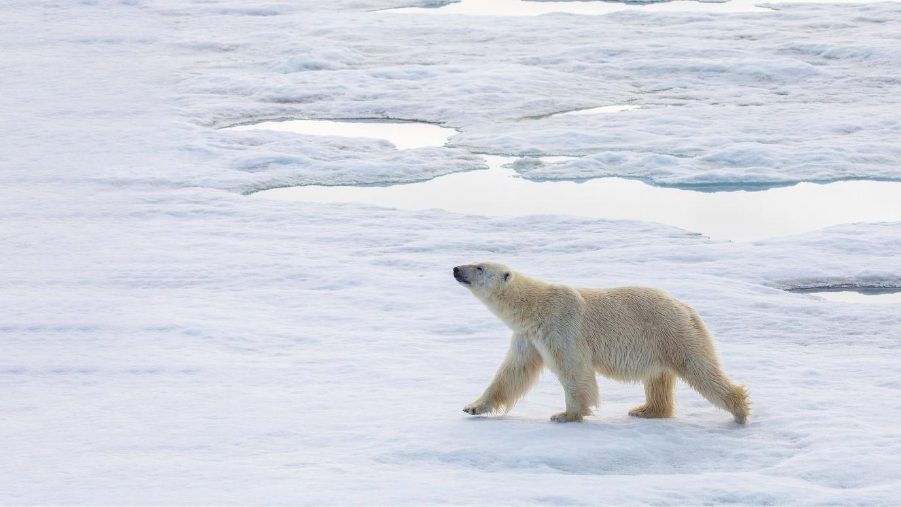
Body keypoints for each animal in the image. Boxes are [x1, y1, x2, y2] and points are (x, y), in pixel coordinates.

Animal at [453, 262, 750, 424]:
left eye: (479, 267)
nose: (456, 269)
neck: (535, 307)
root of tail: (688, 308)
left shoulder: (561, 327)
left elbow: (574, 370)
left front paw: (565, 414)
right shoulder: (528, 337)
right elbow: (512, 372)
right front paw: (473, 406)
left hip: (672, 333)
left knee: (700, 369)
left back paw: (740, 411)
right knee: (658, 378)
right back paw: (646, 410)